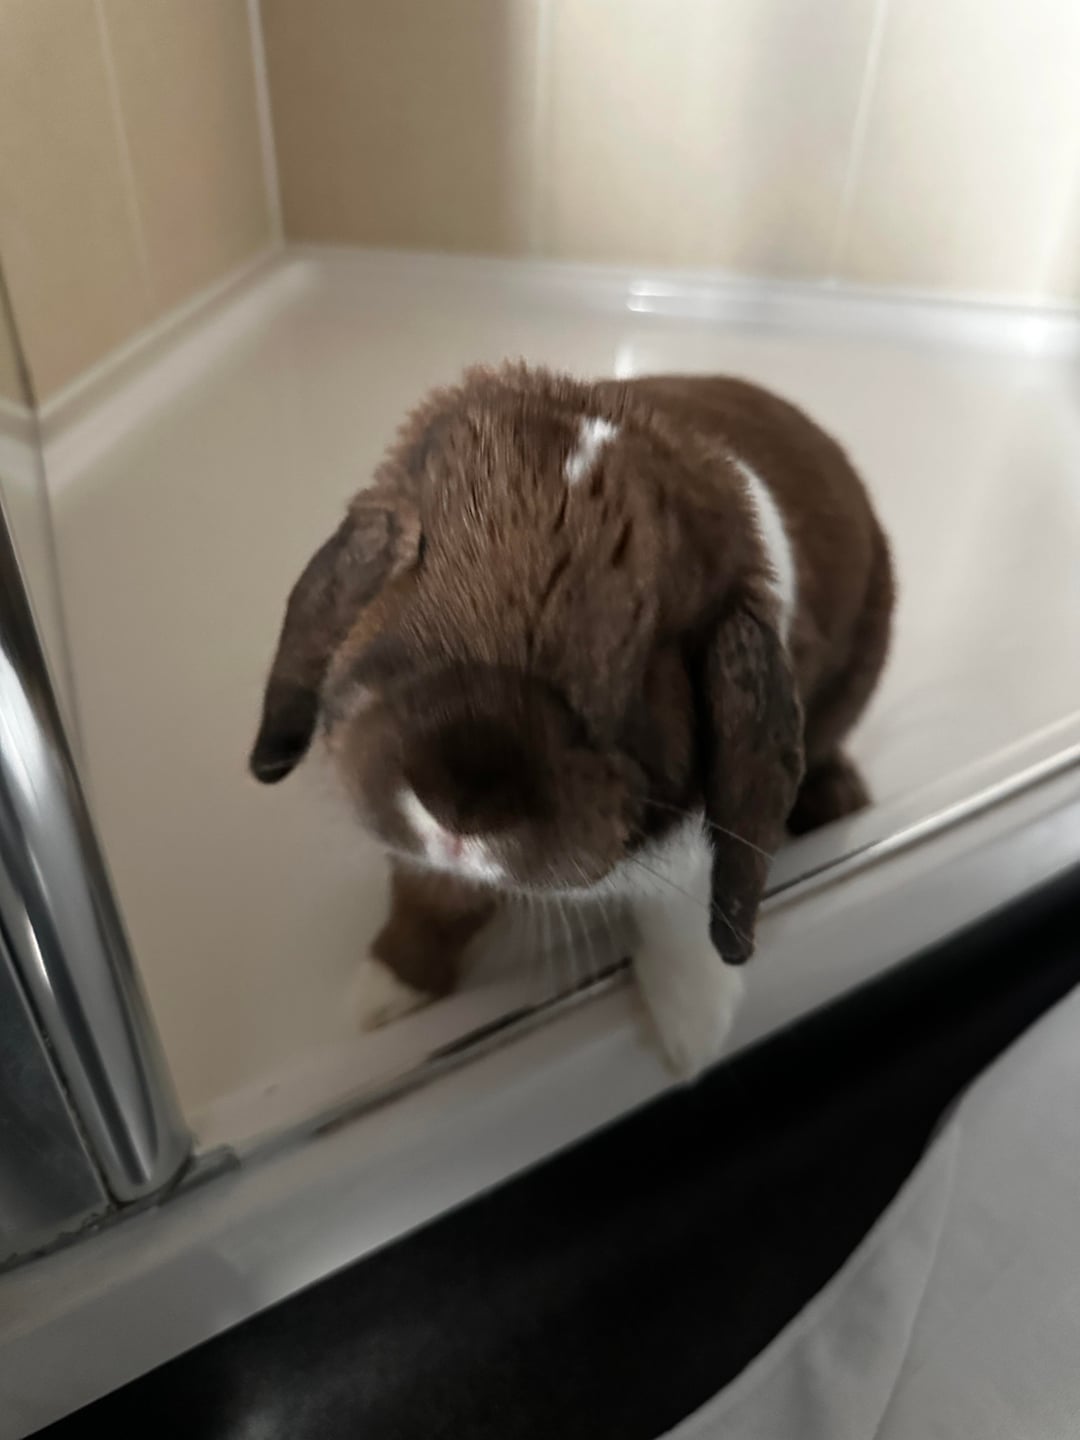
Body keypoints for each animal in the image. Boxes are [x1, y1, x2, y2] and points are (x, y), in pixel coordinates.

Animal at [249, 364, 894, 1077]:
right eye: (414, 555)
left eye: (654, 640)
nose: (458, 803)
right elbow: (429, 898)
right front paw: (383, 994)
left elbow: (678, 906)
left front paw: (692, 1036)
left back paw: (839, 801)